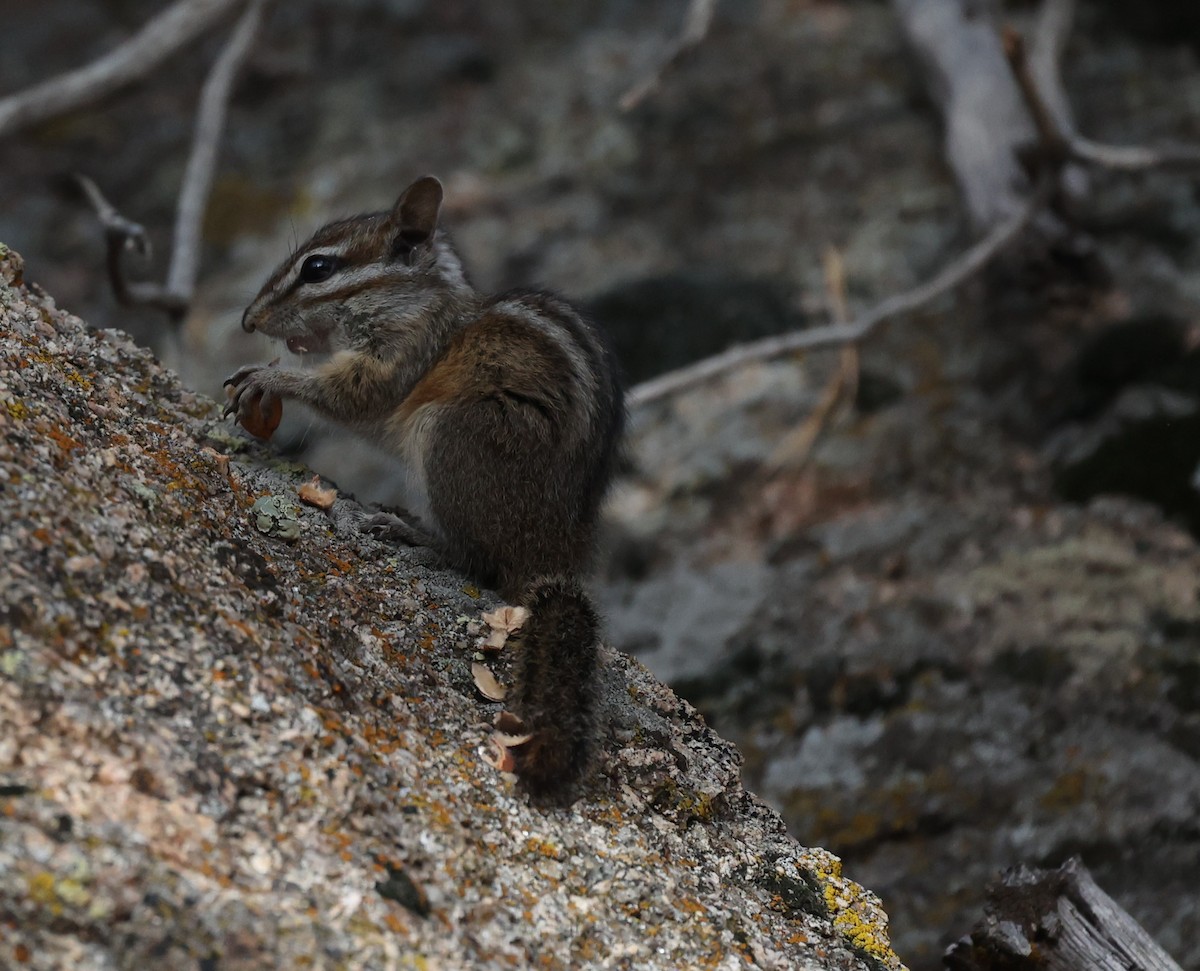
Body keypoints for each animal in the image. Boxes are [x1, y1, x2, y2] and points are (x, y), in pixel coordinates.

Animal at [224, 176, 625, 796]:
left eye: (317, 268)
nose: (248, 320)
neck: (422, 302)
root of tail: (550, 555)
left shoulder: (402, 356)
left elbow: (355, 394)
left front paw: (272, 376)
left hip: (451, 435)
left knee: (477, 561)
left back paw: (413, 532)